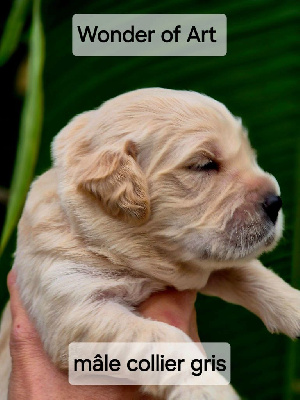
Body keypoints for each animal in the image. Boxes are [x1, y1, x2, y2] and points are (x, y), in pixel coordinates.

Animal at [0, 88, 298, 400]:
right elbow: (162, 336)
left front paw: (295, 306)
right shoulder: (73, 306)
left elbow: (251, 273)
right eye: (204, 165)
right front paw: (209, 387)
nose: (276, 202)